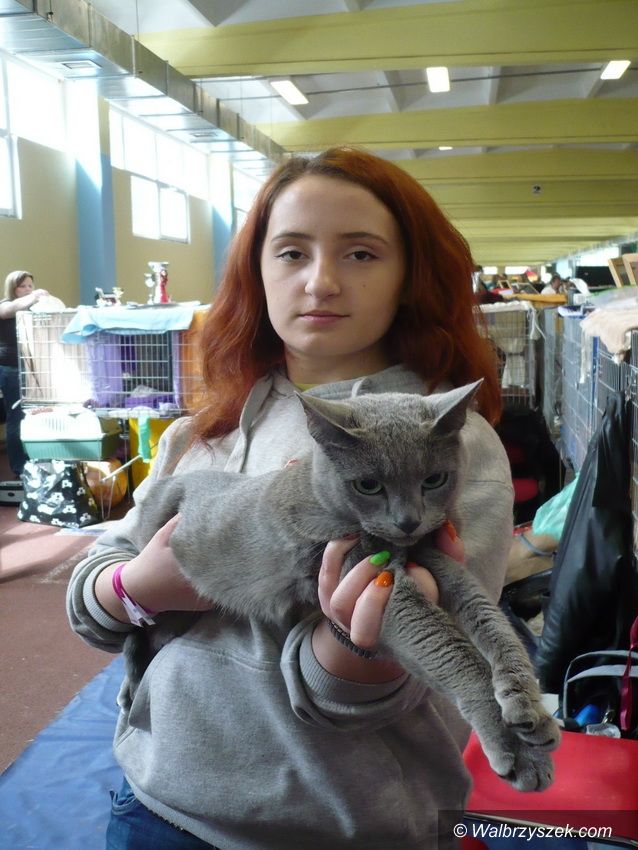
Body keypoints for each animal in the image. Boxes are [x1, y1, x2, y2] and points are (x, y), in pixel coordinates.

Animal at [124, 381, 560, 792]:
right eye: (368, 485)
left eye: (434, 479)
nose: (408, 521)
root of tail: (168, 481)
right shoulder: (375, 578)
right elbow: (447, 647)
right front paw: (518, 753)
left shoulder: (431, 559)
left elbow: (489, 619)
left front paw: (529, 710)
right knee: (138, 627)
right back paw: (129, 688)